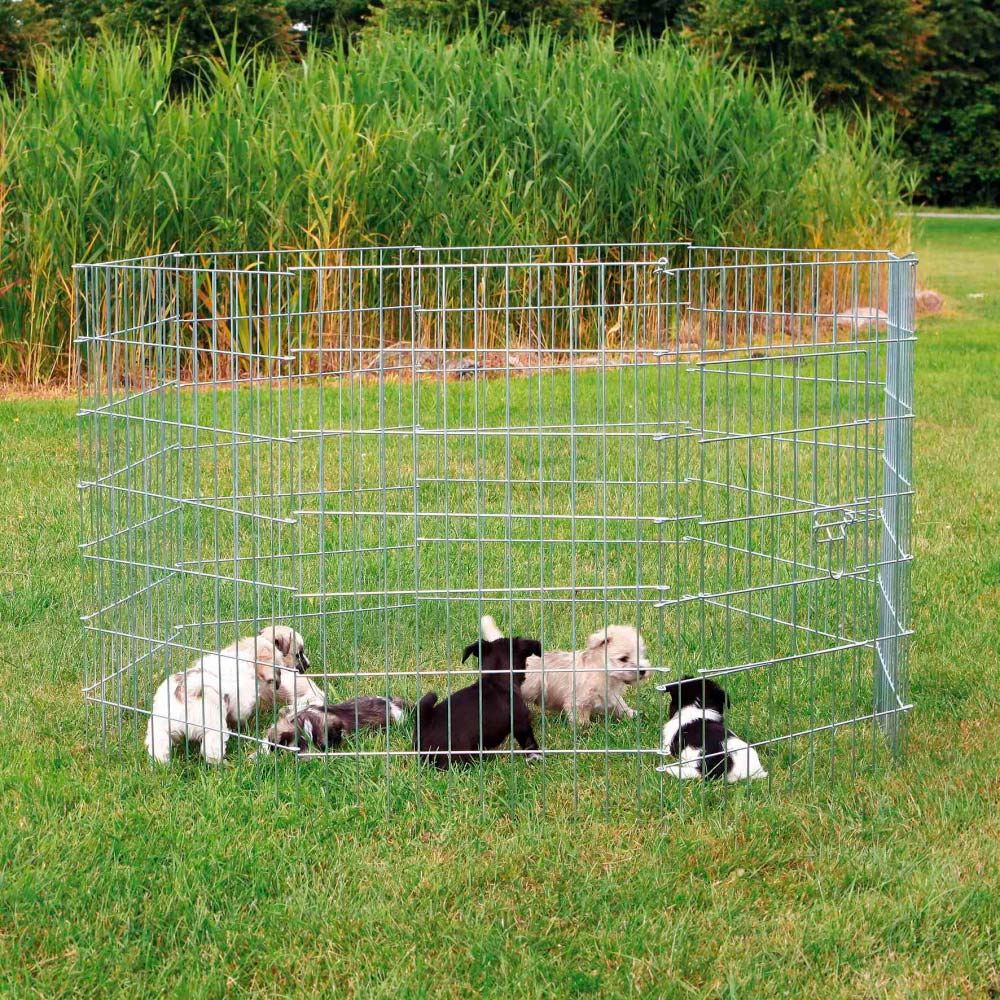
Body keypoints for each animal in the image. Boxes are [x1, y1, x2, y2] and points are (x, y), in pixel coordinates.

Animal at [146, 624, 324, 764]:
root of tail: (186, 691)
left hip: (160, 727)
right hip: (213, 729)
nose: (308, 665)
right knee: (211, 752)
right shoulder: (244, 700)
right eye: (298, 654)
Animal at [484, 608, 656, 728]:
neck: (600, 670)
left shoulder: (611, 695)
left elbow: (621, 705)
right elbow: (581, 719)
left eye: (641, 654)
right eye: (623, 658)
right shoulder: (578, 702)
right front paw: (587, 730)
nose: (643, 671)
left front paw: (632, 714)